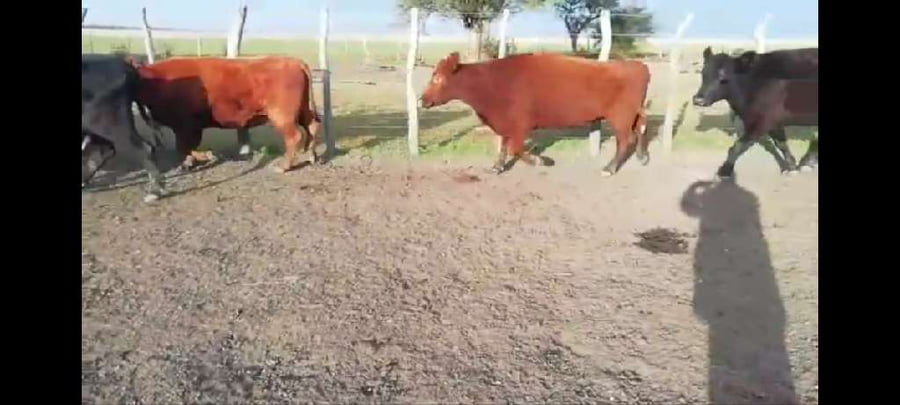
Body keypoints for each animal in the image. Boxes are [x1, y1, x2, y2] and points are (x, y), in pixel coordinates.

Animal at [133, 56, 322, 174]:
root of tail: (293, 61)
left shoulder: (186, 126)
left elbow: (184, 147)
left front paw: (202, 157)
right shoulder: (187, 128)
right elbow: (186, 147)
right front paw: (195, 160)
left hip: (282, 115)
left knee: (294, 136)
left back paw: (284, 166)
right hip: (302, 109)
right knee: (312, 126)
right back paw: (311, 156)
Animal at [419, 52, 650, 176]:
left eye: (438, 78)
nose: (422, 99)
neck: (494, 81)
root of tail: (637, 65)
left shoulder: (520, 124)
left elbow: (515, 149)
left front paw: (540, 161)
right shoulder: (505, 123)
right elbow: (504, 146)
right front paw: (497, 167)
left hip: (621, 116)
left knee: (625, 140)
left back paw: (609, 168)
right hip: (634, 113)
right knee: (640, 129)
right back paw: (642, 157)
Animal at [692, 47, 818, 178]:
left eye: (724, 77)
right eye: (703, 73)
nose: (698, 100)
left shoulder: (762, 122)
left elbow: (738, 146)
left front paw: (724, 171)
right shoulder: (774, 122)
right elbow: (781, 144)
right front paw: (791, 167)